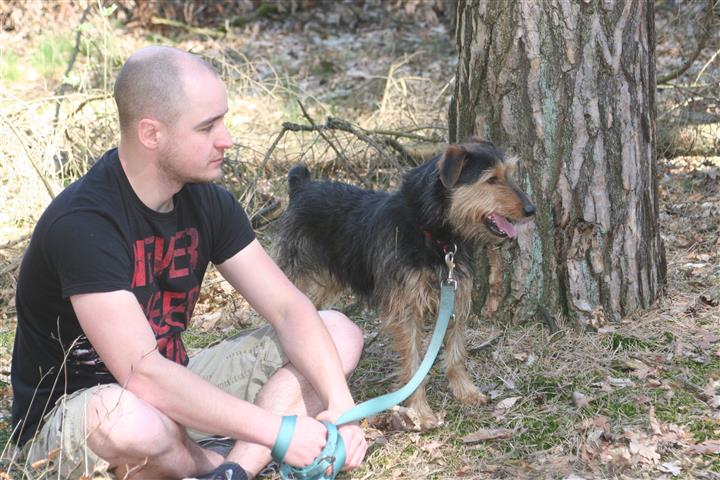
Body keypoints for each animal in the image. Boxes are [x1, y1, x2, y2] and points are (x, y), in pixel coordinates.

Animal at [274, 138, 535, 428]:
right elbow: (414, 363)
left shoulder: (455, 297)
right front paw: (419, 410)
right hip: (294, 274)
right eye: (491, 179)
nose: (531, 210)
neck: (435, 235)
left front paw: (465, 391)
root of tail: (302, 185)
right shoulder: (407, 310)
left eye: (510, 174)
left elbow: (456, 354)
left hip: (328, 281)